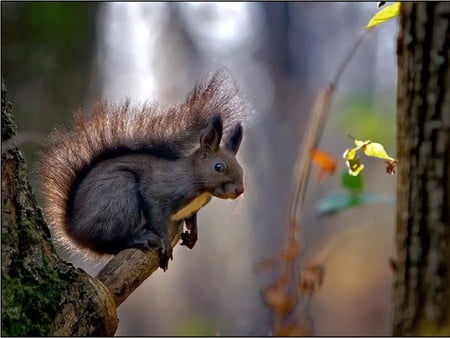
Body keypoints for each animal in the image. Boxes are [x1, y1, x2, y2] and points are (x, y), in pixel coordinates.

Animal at [38, 68, 248, 272]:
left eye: (241, 169)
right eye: (219, 167)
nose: (240, 190)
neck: (197, 184)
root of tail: (74, 230)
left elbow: (191, 218)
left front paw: (192, 235)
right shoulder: (160, 191)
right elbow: (156, 215)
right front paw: (166, 244)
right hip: (119, 196)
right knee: (108, 242)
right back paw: (138, 238)